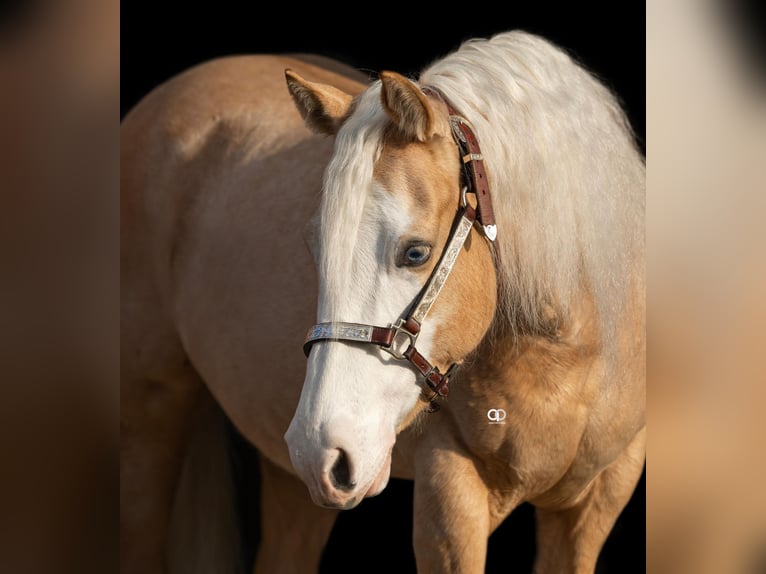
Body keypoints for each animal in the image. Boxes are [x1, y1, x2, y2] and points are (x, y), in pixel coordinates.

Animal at [121, 31, 648, 574]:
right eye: (314, 247)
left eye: (415, 252)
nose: (318, 444)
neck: (568, 354)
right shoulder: (450, 497)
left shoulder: (594, 504)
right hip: (149, 412)